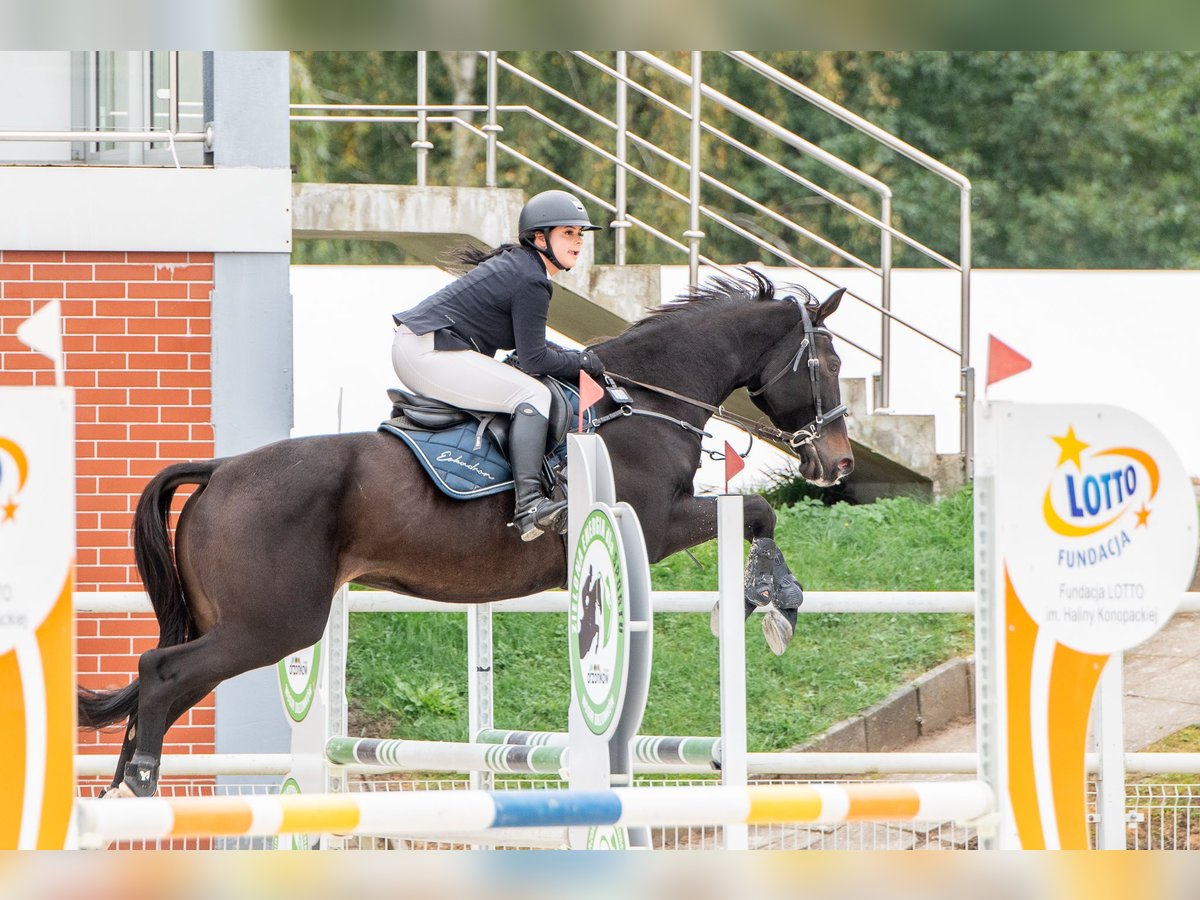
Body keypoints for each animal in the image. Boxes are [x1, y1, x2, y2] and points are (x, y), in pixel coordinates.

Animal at [78, 269, 854, 797]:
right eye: (827, 364)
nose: (838, 462)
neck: (643, 400)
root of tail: (221, 470)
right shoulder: (656, 522)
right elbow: (757, 513)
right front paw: (777, 604)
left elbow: (755, 515)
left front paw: (772, 600)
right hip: (272, 625)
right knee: (160, 672)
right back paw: (138, 785)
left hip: (241, 623)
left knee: (159, 684)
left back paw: (122, 790)